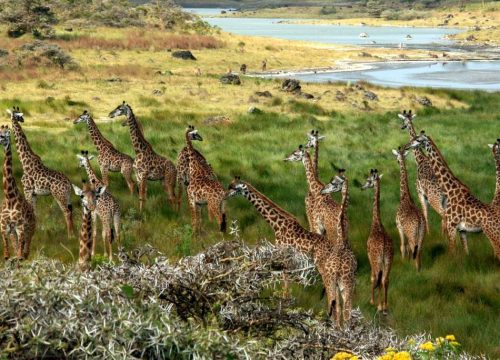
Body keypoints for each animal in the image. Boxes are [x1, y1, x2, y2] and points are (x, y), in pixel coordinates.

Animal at [0, 125, 36, 260]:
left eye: (5, 134)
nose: (1, 139)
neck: (10, 198)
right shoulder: (4, 226)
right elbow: (8, 253)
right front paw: (7, 256)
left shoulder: (20, 226)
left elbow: (20, 253)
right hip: (14, 232)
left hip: (31, 229)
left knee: (26, 249)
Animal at [7, 106, 74, 239]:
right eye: (19, 115)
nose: (23, 120)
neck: (24, 161)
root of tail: (69, 183)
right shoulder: (34, 193)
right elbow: (35, 212)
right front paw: (35, 232)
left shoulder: (27, 190)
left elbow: (30, 211)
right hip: (67, 196)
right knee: (71, 211)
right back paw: (75, 233)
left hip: (59, 195)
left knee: (67, 212)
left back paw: (70, 236)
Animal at [227, 177, 356, 326]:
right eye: (229, 185)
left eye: (234, 188)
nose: (225, 195)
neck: (276, 224)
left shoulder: (285, 260)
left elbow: (285, 290)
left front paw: (282, 315)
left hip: (327, 272)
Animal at [406, 131, 500, 260]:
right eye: (414, 138)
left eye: (418, 140)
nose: (406, 146)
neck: (450, 190)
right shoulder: (462, 230)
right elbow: (465, 251)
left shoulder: (451, 226)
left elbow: (452, 251)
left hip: (493, 235)